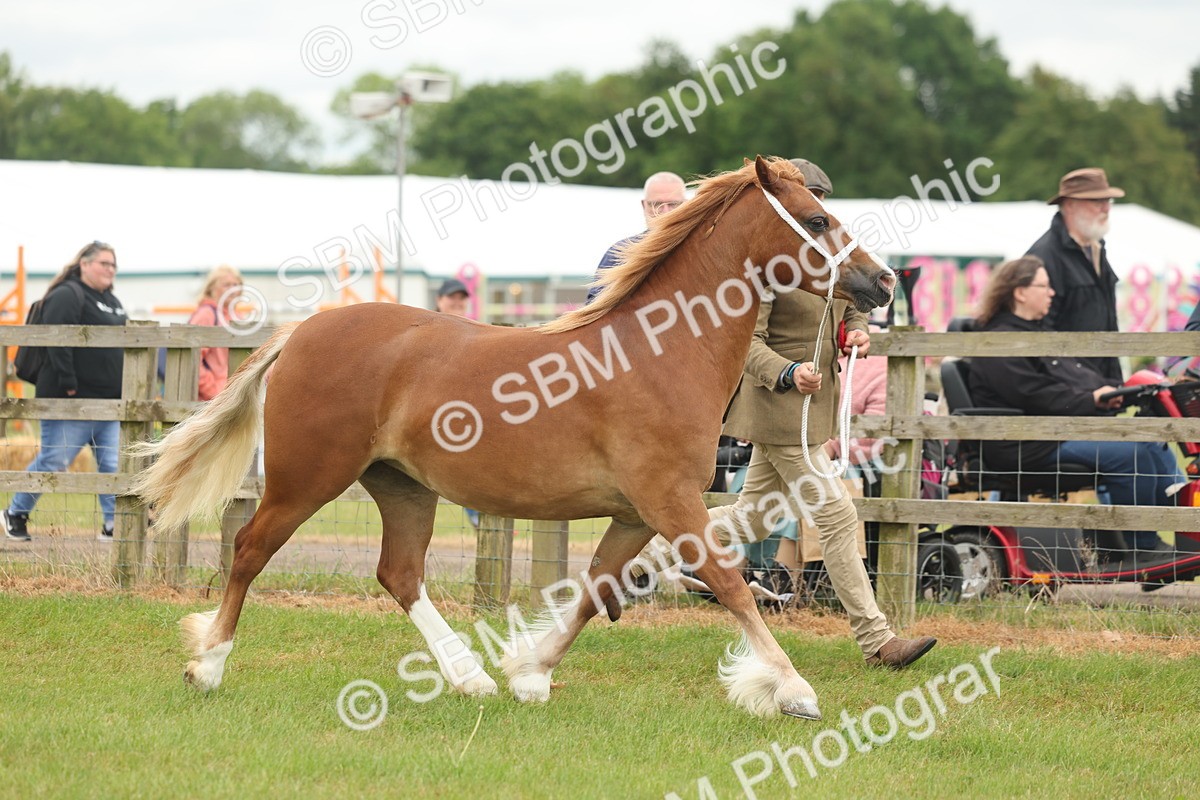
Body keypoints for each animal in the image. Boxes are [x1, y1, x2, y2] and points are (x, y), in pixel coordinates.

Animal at [131, 156, 895, 720]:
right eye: (817, 219)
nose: (883, 282)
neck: (658, 352)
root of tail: (301, 332)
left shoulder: (635, 512)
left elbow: (595, 587)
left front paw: (529, 672)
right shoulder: (670, 501)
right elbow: (731, 585)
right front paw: (792, 689)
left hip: (402, 487)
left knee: (398, 574)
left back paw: (467, 676)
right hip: (306, 478)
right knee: (249, 549)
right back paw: (208, 664)